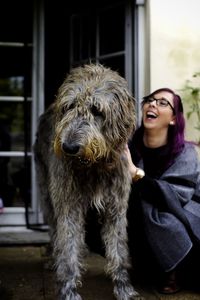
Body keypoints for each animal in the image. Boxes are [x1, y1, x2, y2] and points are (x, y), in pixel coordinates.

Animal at [33, 63, 139, 300]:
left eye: (97, 110)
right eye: (69, 107)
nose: (69, 147)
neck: (93, 165)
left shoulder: (116, 207)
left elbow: (118, 249)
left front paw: (124, 288)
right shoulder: (68, 205)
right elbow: (68, 249)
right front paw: (68, 291)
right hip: (47, 193)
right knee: (55, 230)